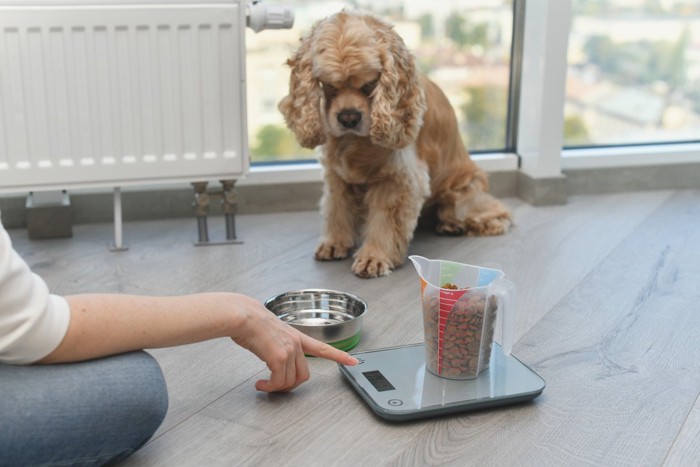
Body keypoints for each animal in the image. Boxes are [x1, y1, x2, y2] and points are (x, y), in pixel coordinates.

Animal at [278, 10, 516, 278]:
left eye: (369, 84)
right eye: (329, 85)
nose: (348, 118)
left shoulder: (398, 179)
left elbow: (385, 221)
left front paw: (373, 258)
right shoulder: (335, 173)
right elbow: (336, 208)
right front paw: (334, 243)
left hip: (462, 195)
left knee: (494, 211)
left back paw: (457, 224)